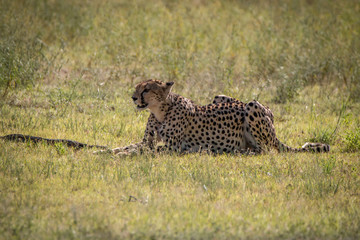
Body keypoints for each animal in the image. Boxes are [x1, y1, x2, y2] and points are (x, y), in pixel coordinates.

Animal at [101, 79, 330, 156]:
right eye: (137, 87)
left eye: (146, 89)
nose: (133, 97)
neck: (160, 111)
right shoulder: (147, 140)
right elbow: (129, 146)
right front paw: (104, 151)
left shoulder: (173, 147)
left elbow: (146, 151)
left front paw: (122, 155)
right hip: (220, 96)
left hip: (252, 105)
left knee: (265, 150)